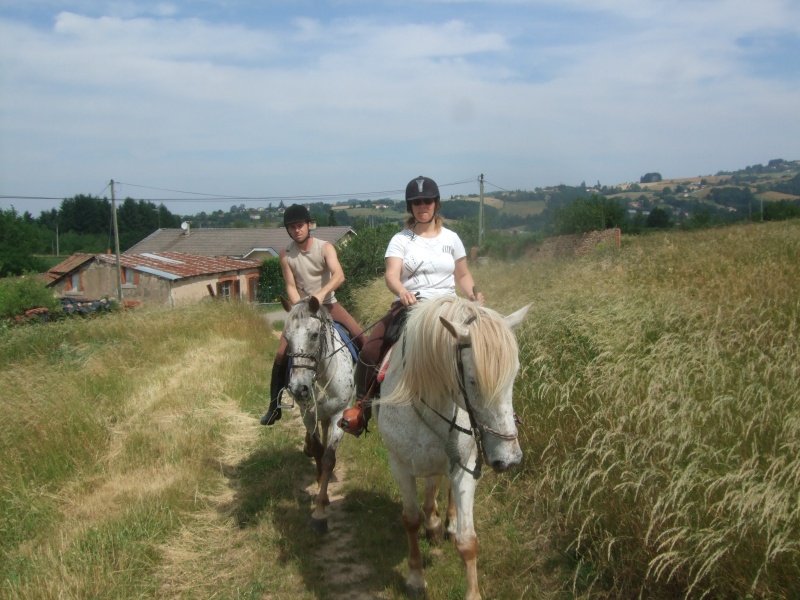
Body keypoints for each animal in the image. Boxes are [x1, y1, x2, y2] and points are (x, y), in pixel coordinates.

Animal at [282, 292, 356, 532]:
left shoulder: (339, 414)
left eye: (314, 335)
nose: (299, 388)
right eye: (287, 337)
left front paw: (321, 509)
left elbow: (328, 458)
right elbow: (317, 450)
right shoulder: (308, 415)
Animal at [376, 296, 532, 600]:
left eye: (514, 375)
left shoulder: (466, 467)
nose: (509, 459)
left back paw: (444, 523)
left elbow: (468, 540)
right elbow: (410, 519)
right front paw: (415, 578)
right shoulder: (399, 466)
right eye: (473, 381)